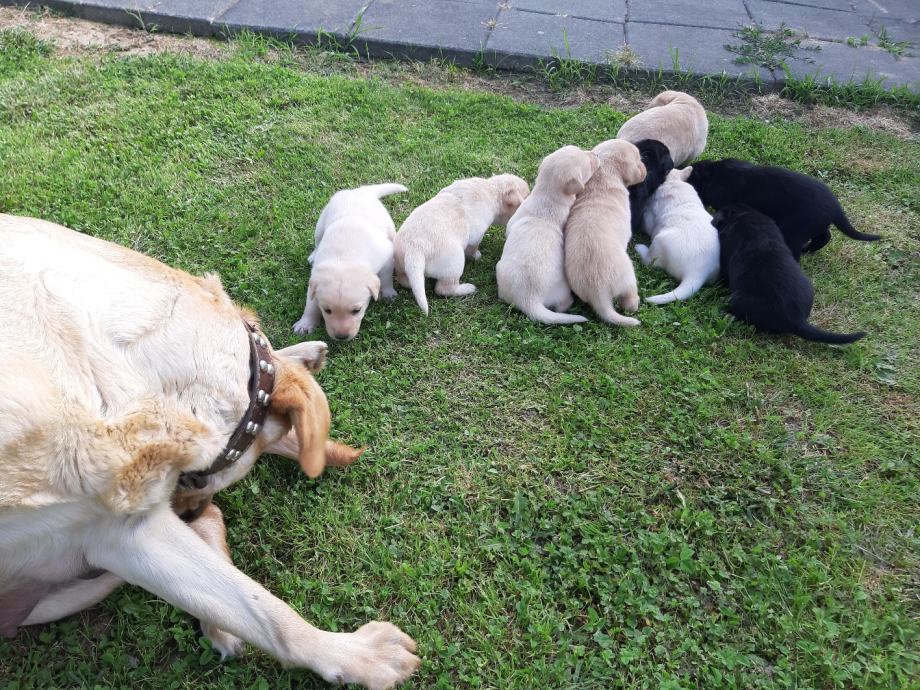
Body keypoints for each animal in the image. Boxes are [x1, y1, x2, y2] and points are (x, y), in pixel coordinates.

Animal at [293, 183, 407, 340]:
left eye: (356, 310)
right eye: (327, 310)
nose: (341, 337)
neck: (345, 259)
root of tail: (359, 191)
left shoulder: (387, 257)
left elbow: (386, 278)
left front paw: (388, 293)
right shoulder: (314, 280)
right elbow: (310, 303)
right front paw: (305, 323)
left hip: (388, 224)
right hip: (321, 223)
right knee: (317, 240)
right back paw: (313, 255)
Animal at [394, 174, 530, 314]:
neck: (492, 188)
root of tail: (415, 248)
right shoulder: (476, 235)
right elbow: (472, 248)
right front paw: (476, 256)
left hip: (402, 263)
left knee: (405, 280)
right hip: (455, 263)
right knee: (444, 289)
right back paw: (467, 288)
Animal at [564, 139, 647, 326]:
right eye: (638, 159)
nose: (645, 167)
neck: (603, 173)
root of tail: (598, 291)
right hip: (628, 276)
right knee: (629, 301)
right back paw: (635, 303)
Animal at [635, 167, 719, 304]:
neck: (674, 182)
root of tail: (698, 272)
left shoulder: (649, 218)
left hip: (659, 242)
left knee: (649, 261)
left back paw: (640, 248)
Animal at [688, 159, 880, 261]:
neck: (715, 174)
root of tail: (835, 207)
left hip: (795, 230)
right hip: (815, 225)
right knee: (825, 236)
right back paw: (809, 249)